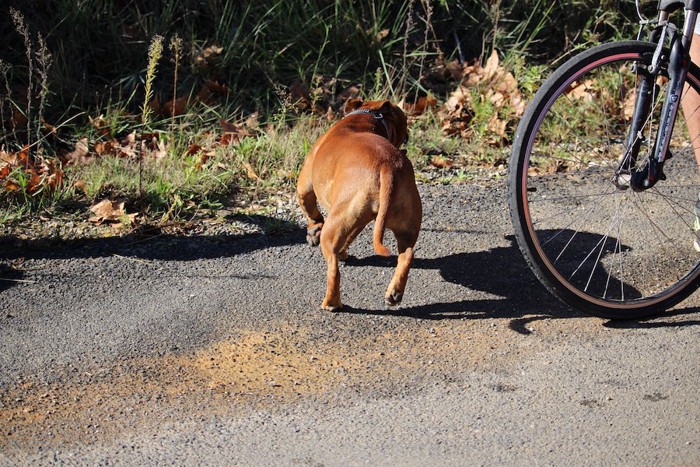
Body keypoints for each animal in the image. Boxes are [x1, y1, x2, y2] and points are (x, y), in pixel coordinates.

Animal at [296, 98, 422, 310]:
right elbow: (348, 239)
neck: (367, 117)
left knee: (333, 269)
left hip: (334, 226)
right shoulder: (358, 223)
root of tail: (387, 166)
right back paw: (394, 293)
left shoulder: (305, 186)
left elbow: (310, 209)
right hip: (404, 225)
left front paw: (313, 231)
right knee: (407, 255)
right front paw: (343, 252)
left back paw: (331, 303)